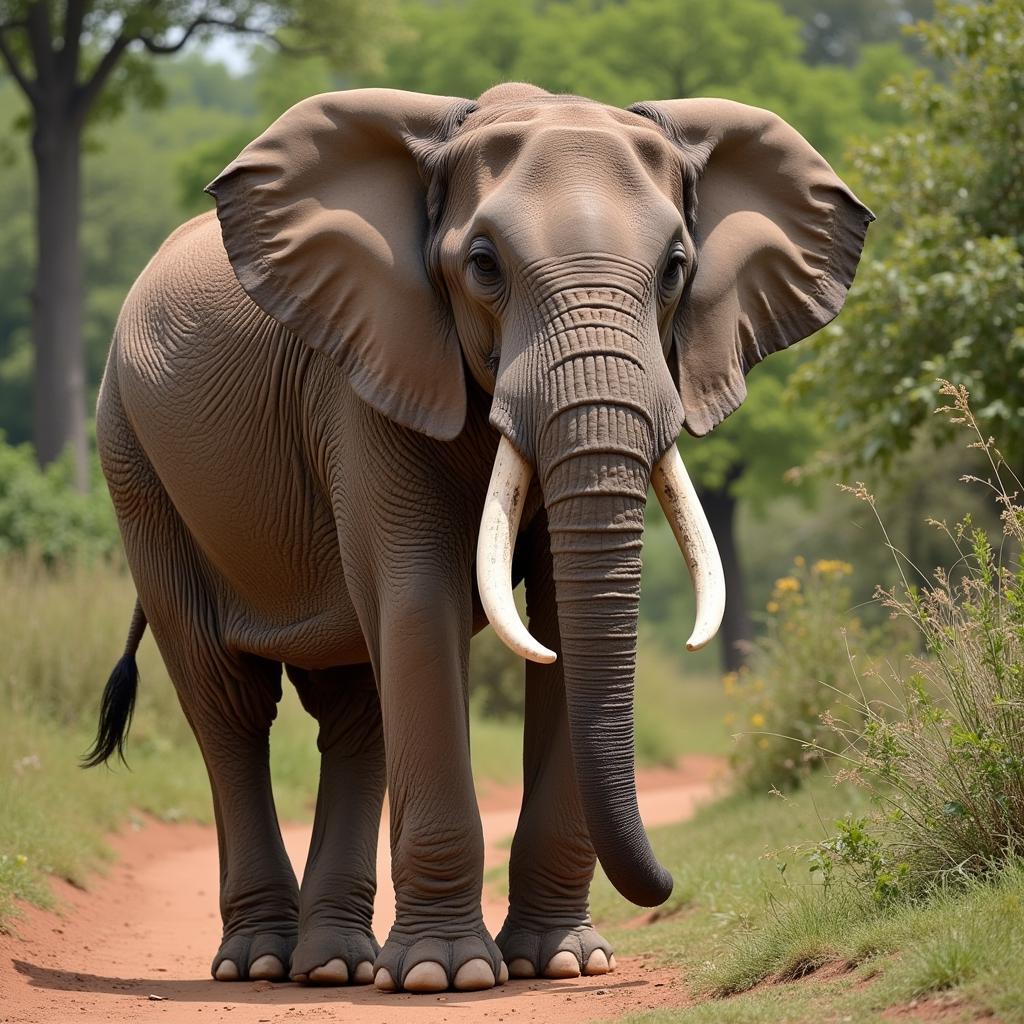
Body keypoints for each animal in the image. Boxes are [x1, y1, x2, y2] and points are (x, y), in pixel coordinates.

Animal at [90, 79, 872, 991]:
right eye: (485, 266)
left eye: (677, 269)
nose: (671, 883)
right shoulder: (368, 373)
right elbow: (417, 596)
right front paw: (446, 976)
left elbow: (561, 615)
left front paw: (563, 961)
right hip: (134, 464)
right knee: (228, 704)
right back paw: (263, 963)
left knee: (356, 708)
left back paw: (337, 967)